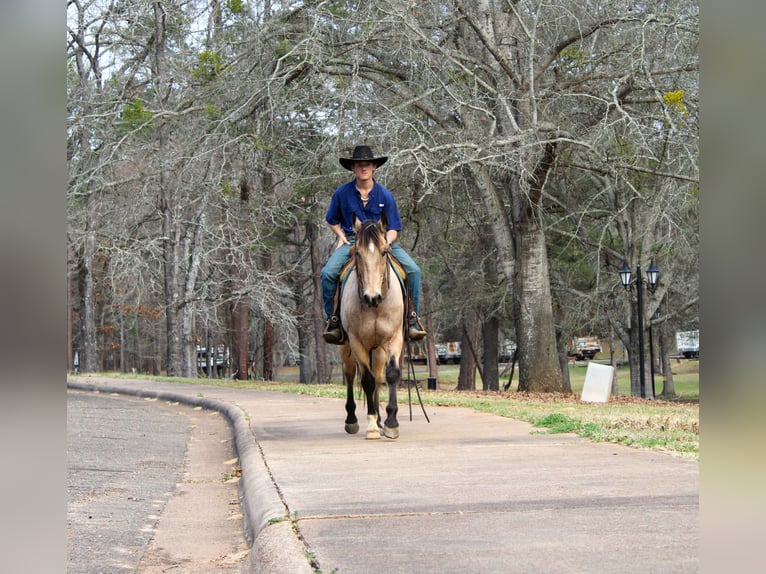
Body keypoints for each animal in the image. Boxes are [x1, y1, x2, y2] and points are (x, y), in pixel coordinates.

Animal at [340, 217, 405, 440]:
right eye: (357, 253)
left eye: (384, 252)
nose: (372, 297)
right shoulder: (356, 341)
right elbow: (366, 380)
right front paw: (372, 426)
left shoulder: (394, 338)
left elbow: (391, 374)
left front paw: (391, 422)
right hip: (346, 346)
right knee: (351, 373)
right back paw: (352, 420)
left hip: (378, 350)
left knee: (378, 376)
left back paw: (379, 417)